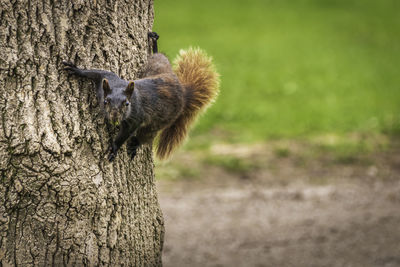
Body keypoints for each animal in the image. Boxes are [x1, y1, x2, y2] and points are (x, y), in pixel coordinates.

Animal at [63, 33, 219, 163]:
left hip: (160, 121)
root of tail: (182, 92)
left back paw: (135, 144)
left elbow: (125, 134)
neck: (120, 87)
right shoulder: (107, 80)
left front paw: (114, 147)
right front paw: (77, 69)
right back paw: (154, 46)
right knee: (160, 58)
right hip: (156, 67)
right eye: (106, 101)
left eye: (126, 104)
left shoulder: (135, 117)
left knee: (146, 135)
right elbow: (96, 72)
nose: (114, 116)